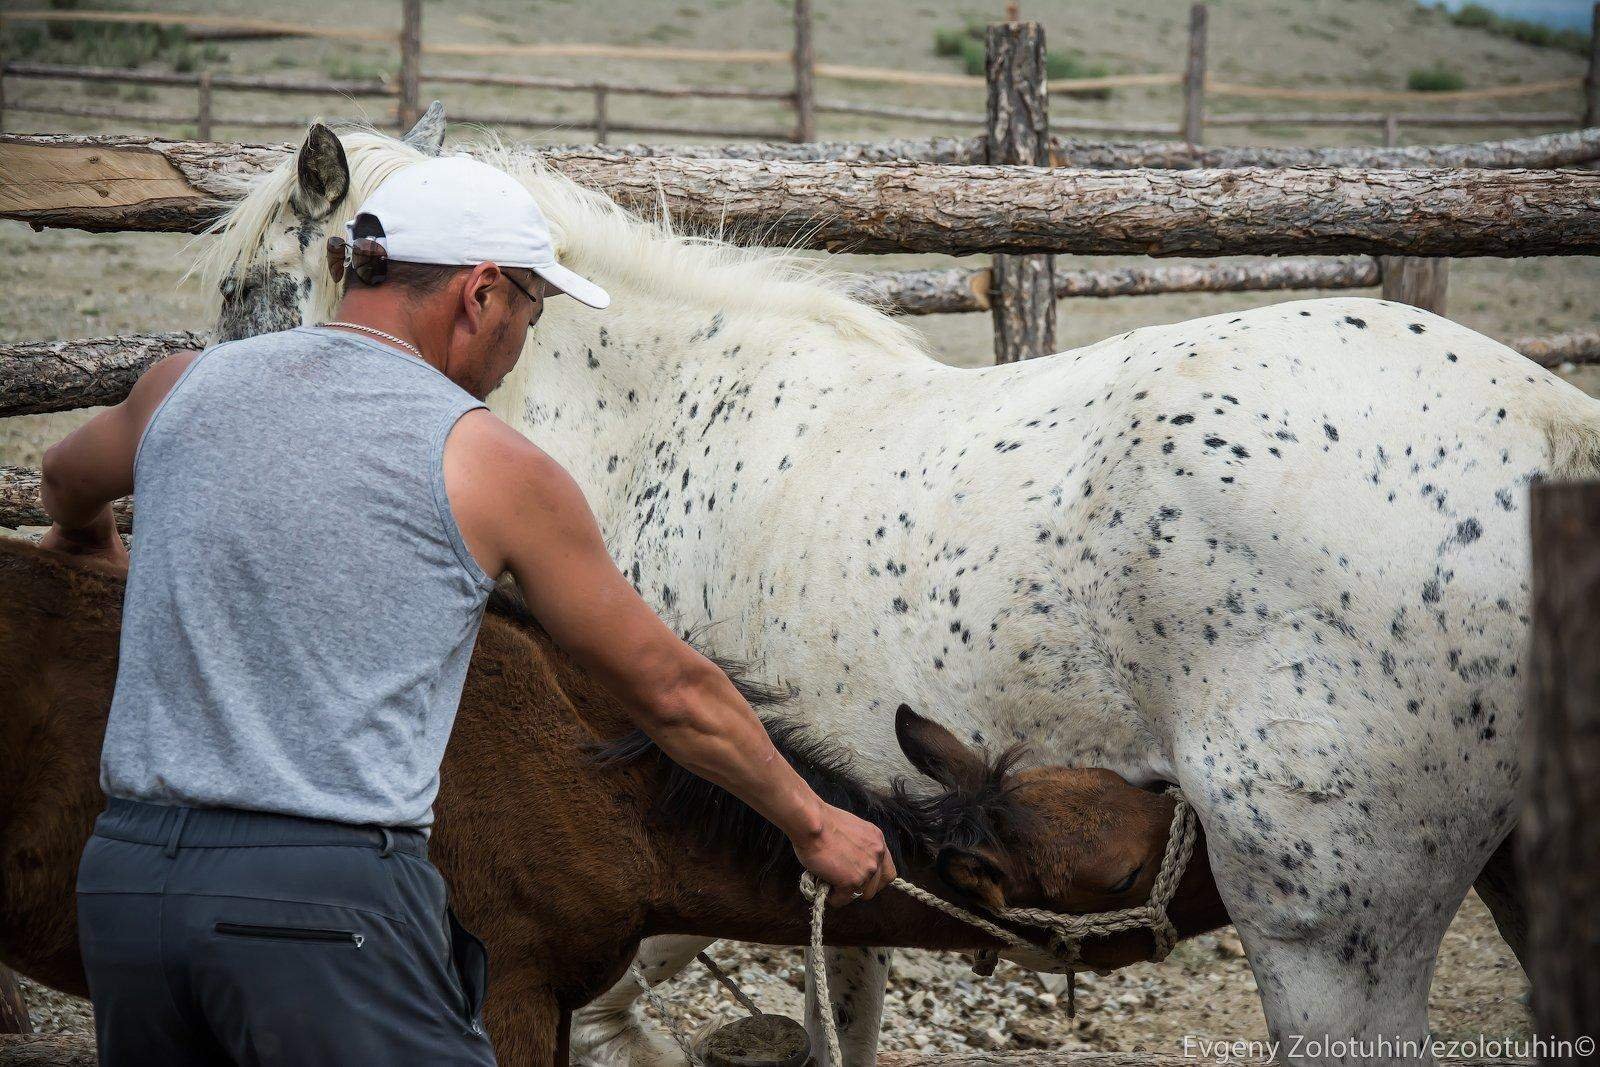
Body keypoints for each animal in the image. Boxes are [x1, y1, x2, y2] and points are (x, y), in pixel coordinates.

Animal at [206, 116, 1580, 1067]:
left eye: (240, 291)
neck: (652, 423)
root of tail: (1550, 426)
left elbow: (618, 1000)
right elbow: (840, 1009)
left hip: (1322, 931)